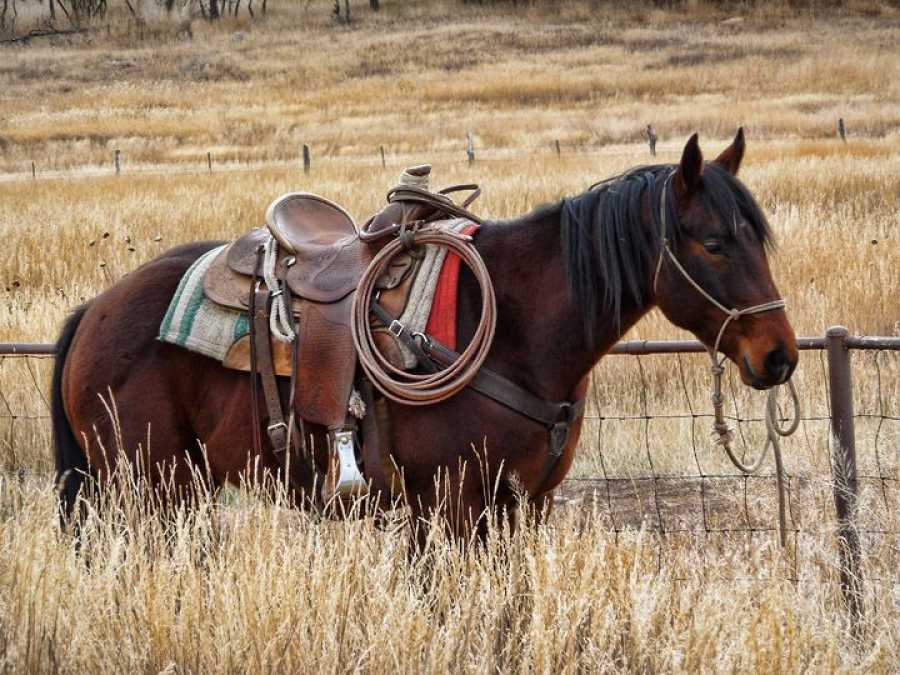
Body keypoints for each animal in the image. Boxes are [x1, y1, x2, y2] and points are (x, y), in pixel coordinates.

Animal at [51, 129, 796, 548]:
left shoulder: (525, 503)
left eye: (757, 237)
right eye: (713, 243)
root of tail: (95, 311)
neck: (517, 329)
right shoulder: (450, 503)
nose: (779, 356)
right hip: (148, 487)